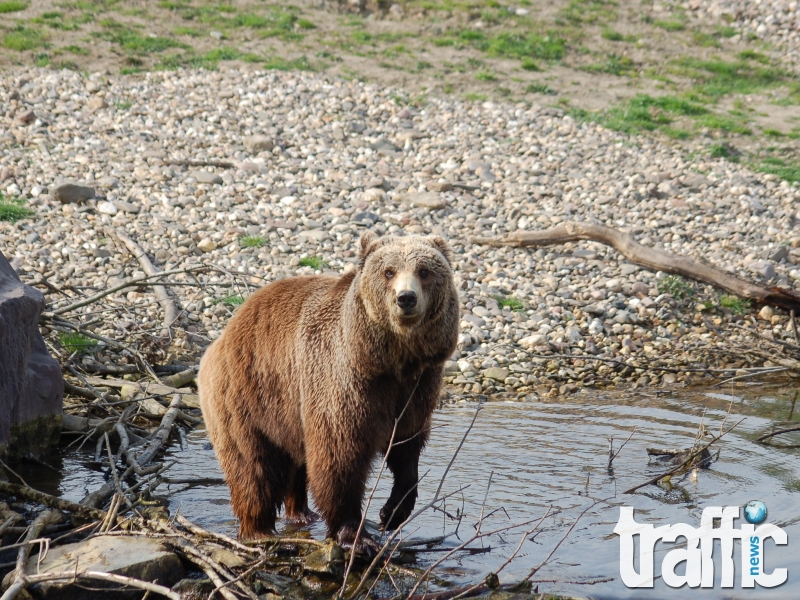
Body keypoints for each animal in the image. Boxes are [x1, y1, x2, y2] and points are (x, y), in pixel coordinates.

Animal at [199, 232, 460, 552]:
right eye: (388, 271)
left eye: (424, 271)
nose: (406, 298)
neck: (391, 360)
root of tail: (224, 333)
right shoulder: (344, 384)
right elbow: (338, 457)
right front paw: (356, 536)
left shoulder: (416, 390)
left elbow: (406, 450)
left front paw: (391, 513)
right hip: (248, 396)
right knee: (253, 467)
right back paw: (258, 530)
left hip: (289, 411)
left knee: (296, 462)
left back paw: (301, 513)